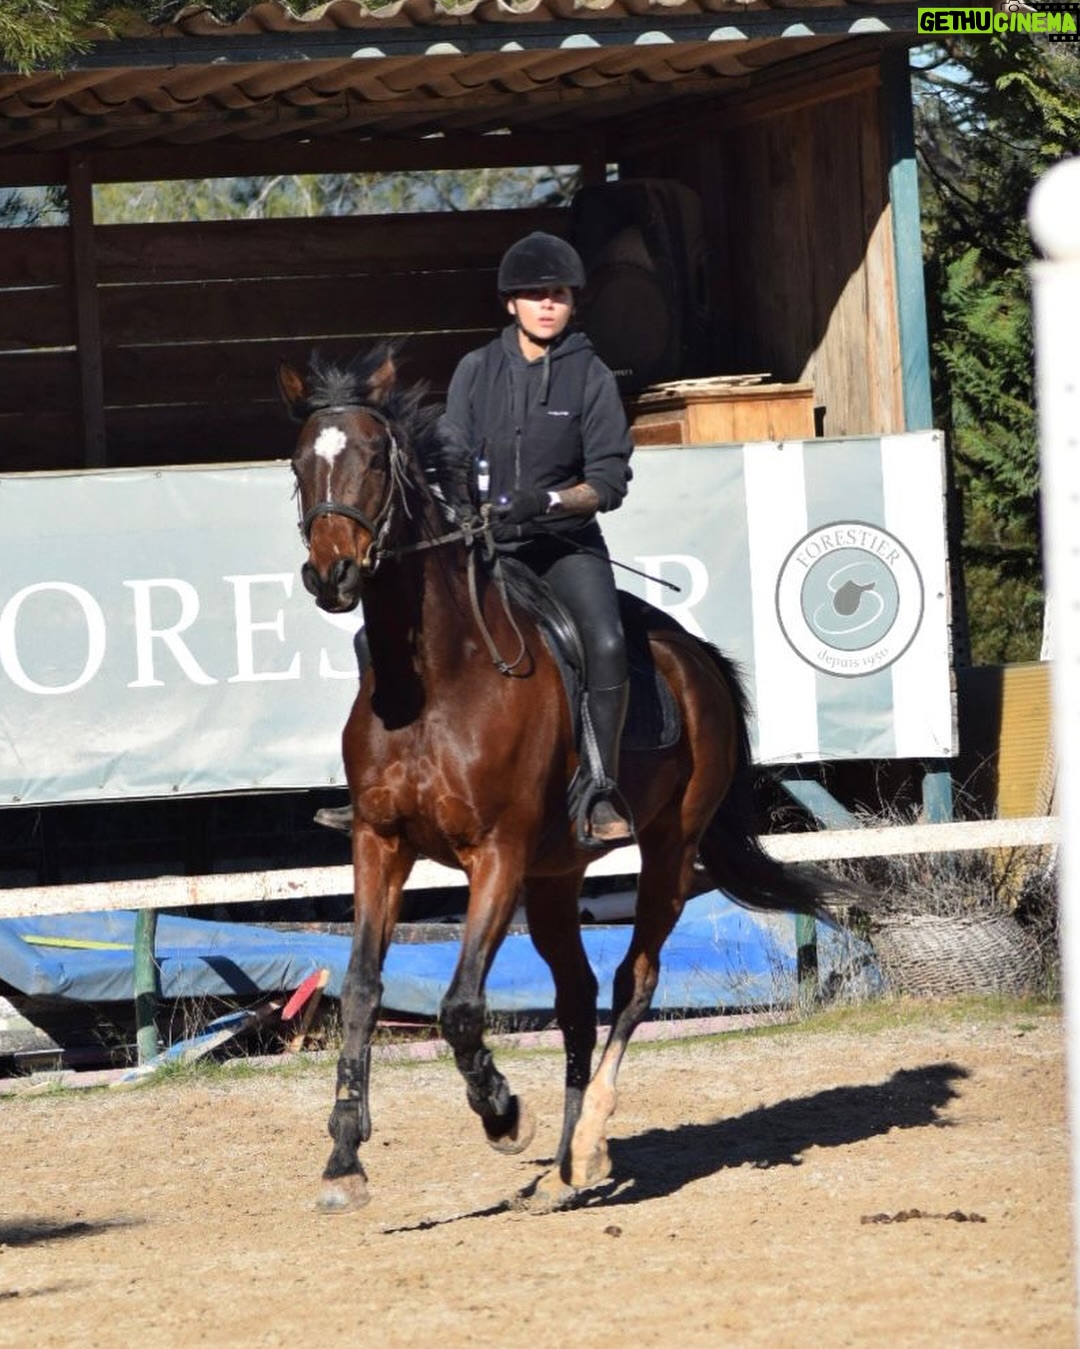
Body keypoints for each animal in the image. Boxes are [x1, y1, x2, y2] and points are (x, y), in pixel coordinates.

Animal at [279, 344, 838, 1214]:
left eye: (374, 459)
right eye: (301, 463)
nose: (332, 573)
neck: (433, 680)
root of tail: (696, 656)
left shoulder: (495, 852)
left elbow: (461, 1006)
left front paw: (506, 1116)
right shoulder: (380, 843)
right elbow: (363, 989)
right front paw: (344, 1160)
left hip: (667, 853)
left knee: (633, 978)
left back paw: (590, 1135)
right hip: (553, 876)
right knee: (576, 994)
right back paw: (573, 1156)